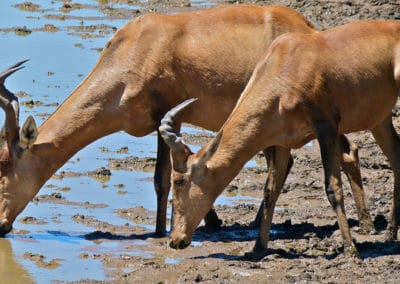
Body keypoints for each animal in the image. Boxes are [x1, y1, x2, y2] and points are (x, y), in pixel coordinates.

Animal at [0, 6, 372, 237]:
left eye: (4, 166)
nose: (2, 226)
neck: (138, 45)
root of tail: (307, 27)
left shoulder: (165, 116)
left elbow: (161, 178)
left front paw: (158, 232)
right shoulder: (165, 123)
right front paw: (211, 223)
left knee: (347, 150)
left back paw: (367, 225)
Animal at [160, 19, 400, 255]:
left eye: (179, 180)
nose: (175, 240)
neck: (285, 62)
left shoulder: (327, 129)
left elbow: (333, 188)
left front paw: (351, 251)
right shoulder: (282, 142)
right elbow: (270, 190)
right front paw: (258, 248)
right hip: (380, 119)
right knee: (396, 159)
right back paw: (389, 234)